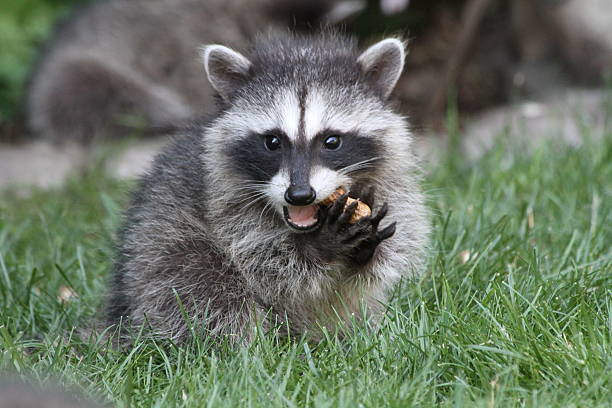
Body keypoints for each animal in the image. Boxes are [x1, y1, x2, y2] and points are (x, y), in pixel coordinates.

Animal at [106, 31, 430, 342]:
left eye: (332, 141)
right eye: (272, 142)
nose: (300, 195)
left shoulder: (390, 184)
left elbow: (391, 250)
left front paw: (366, 246)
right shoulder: (222, 203)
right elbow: (266, 264)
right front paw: (321, 246)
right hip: (158, 250)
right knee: (203, 287)